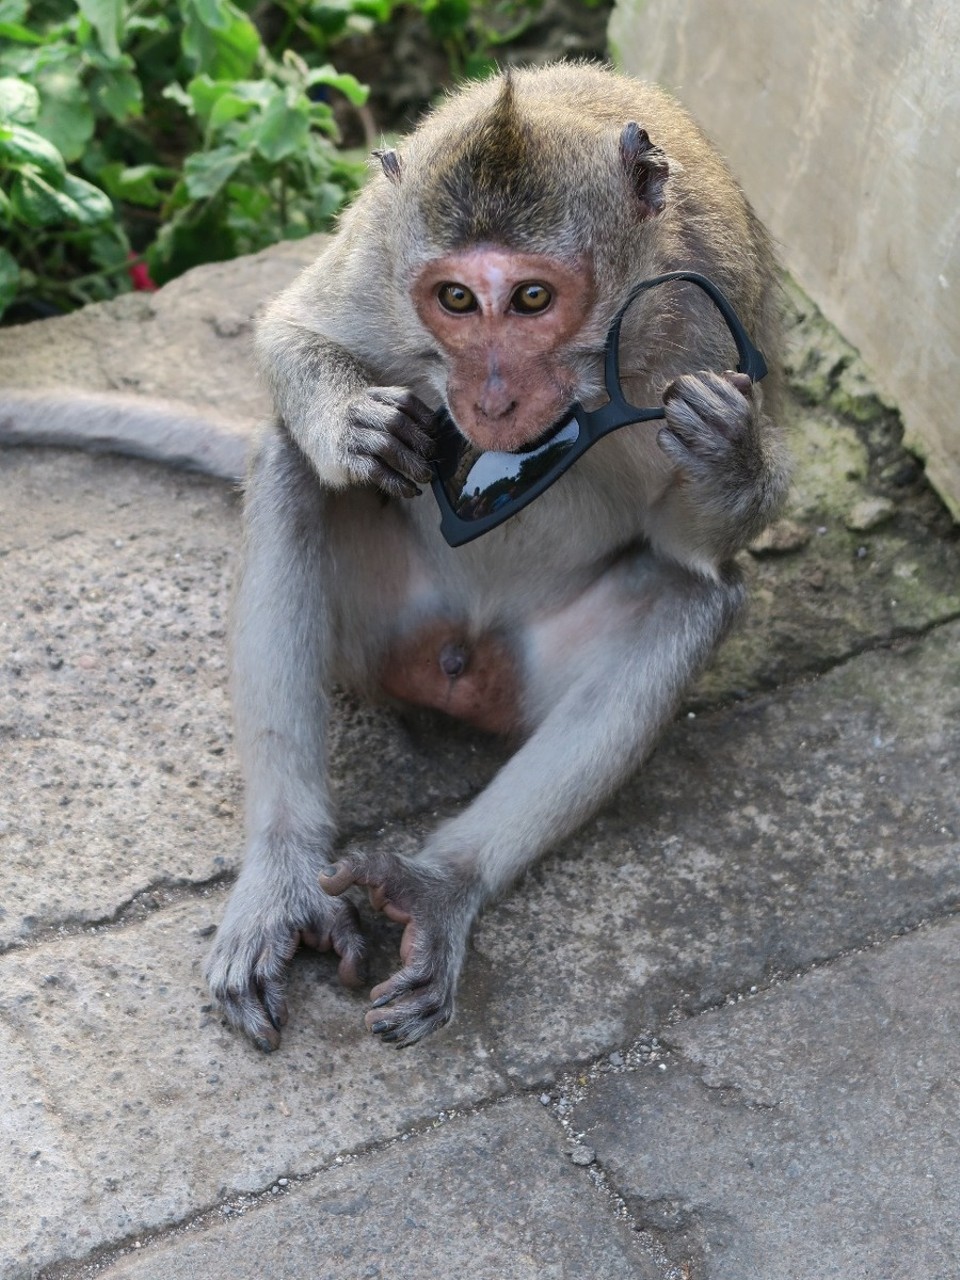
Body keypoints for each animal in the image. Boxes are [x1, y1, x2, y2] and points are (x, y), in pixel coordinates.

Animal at [0, 62, 788, 1049]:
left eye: (533, 298)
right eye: (455, 299)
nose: (489, 398)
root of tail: (451, 662)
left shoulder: (714, 319)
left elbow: (694, 543)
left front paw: (726, 450)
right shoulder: (379, 251)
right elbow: (289, 335)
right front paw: (353, 421)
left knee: (692, 597)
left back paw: (439, 885)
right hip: (371, 632)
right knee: (289, 464)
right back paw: (285, 877)